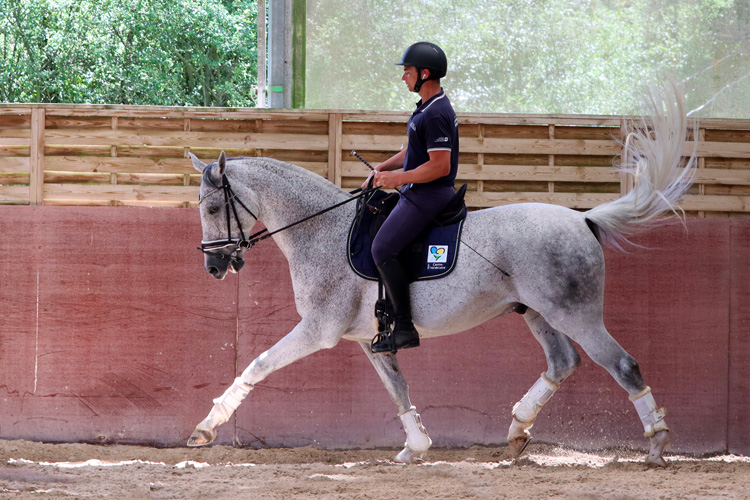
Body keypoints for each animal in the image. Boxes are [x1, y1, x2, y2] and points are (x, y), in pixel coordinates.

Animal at [187, 80, 700, 466]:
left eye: (212, 208)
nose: (213, 266)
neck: (323, 229)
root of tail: (583, 219)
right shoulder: (369, 338)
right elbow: (398, 390)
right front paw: (415, 447)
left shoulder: (318, 330)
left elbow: (258, 364)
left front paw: (206, 428)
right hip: (537, 312)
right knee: (563, 362)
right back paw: (517, 430)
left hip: (576, 314)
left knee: (622, 365)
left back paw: (657, 443)